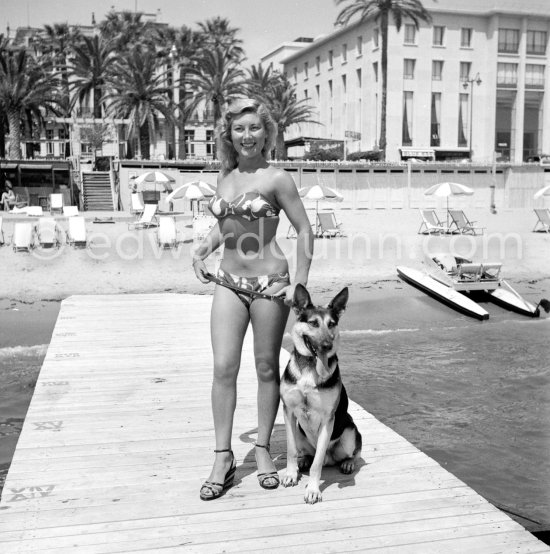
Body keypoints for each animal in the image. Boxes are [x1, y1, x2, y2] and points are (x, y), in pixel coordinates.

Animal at [282, 282, 364, 502]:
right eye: (313, 323)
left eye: (332, 323)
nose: (327, 346)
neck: (310, 368)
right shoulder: (289, 412)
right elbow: (291, 450)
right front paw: (291, 474)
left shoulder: (328, 419)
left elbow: (317, 463)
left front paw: (312, 489)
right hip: (300, 432)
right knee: (307, 453)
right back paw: (303, 460)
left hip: (349, 431)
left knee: (353, 452)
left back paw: (348, 463)